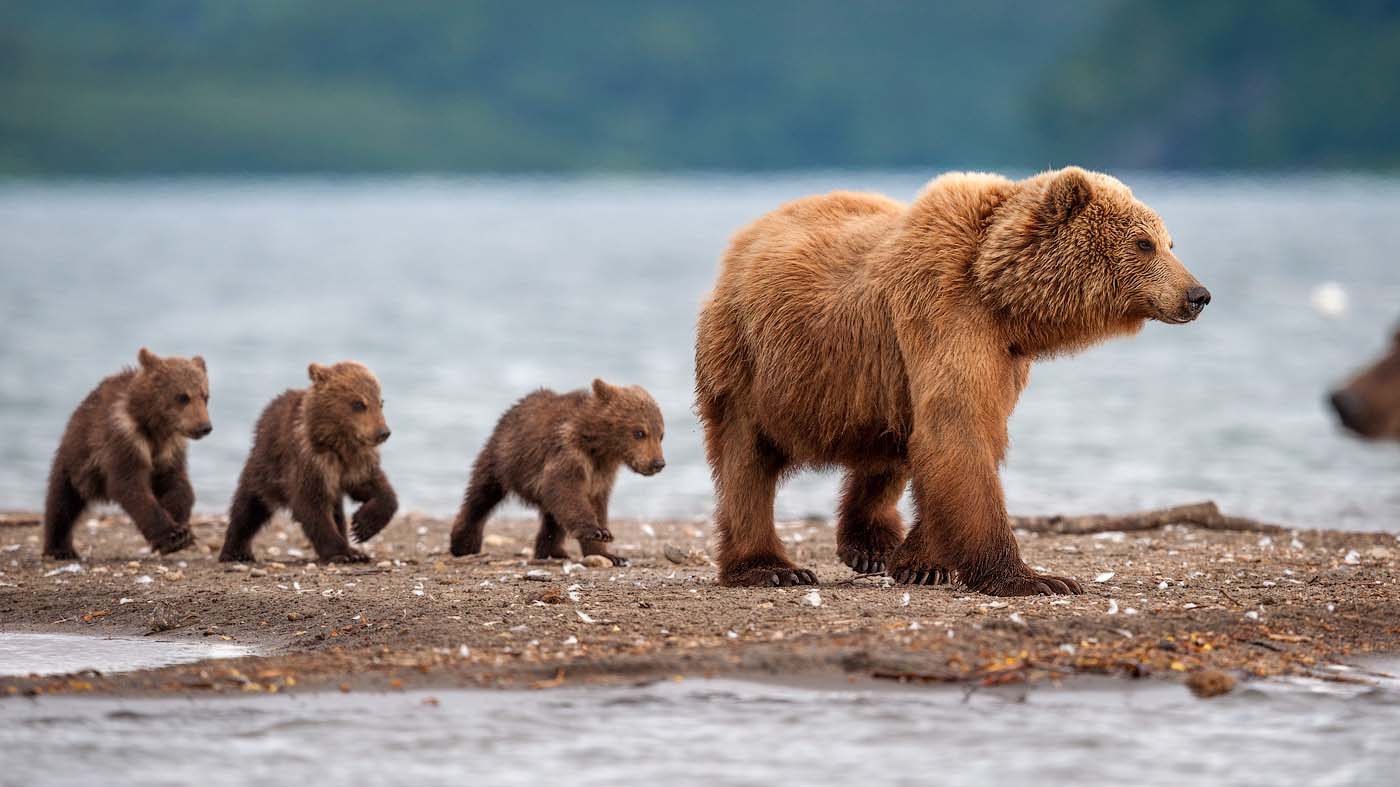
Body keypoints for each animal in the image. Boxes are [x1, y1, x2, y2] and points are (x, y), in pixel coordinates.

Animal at [694, 166, 1209, 593]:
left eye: (1170, 242)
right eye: (1144, 243)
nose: (1198, 294)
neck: (998, 292)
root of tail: (746, 236)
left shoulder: (1001, 356)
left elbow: (965, 437)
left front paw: (923, 563)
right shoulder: (945, 315)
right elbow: (957, 433)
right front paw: (1035, 578)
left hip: (874, 378)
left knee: (891, 443)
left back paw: (870, 544)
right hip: (750, 356)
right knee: (746, 459)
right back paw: (771, 567)